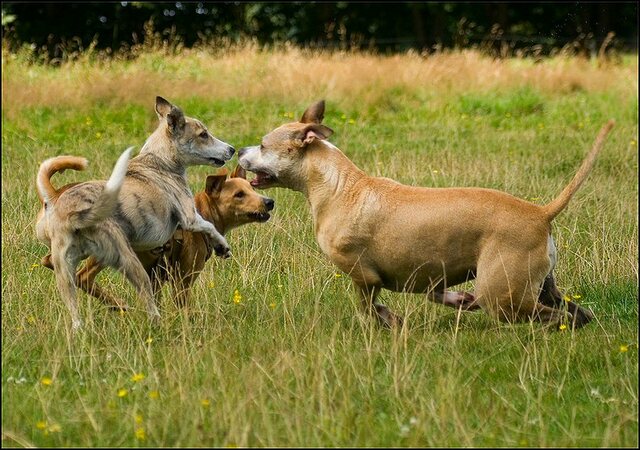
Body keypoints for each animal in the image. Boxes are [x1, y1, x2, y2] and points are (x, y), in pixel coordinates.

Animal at [35, 96, 235, 328]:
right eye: (203, 134)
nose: (232, 149)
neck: (159, 161)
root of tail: (58, 201)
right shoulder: (189, 217)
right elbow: (209, 226)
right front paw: (223, 245)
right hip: (127, 259)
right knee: (147, 299)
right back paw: (156, 322)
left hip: (65, 270)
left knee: (74, 308)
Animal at [37, 165, 272, 310]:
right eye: (239, 195)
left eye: (251, 188)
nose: (269, 202)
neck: (202, 213)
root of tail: (56, 195)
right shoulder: (183, 280)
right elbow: (183, 310)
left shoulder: (155, 277)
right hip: (109, 247)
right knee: (83, 277)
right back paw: (118, 305)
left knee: (51, 262)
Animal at [240, 100, 616, 328]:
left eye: (263, 145)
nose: (241, 149)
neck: (334, 184)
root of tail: (539, 213)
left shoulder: (363, 276)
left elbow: (368, 307)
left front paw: (388, 322)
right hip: (541, 285)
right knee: (576, 312)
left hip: (502, 293)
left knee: (544, 315)